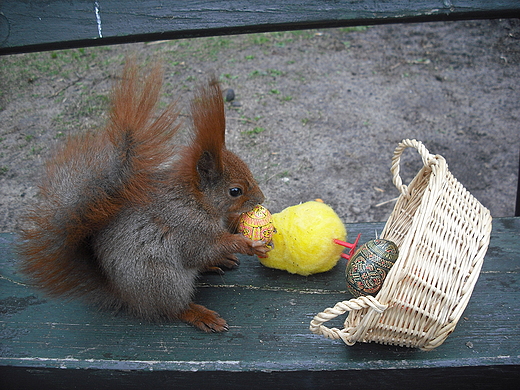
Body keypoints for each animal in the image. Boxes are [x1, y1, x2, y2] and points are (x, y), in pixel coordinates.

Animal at [17, 61, 268, 332]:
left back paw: (217, 263)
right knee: (172, 309)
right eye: (235, 191)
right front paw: (246, 244)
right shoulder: (187, 227)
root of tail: (127, 296)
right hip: (163, 280)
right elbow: (203, 248)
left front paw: (237, 224)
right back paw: (200, 314)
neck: (196, 201)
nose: (262, 198)